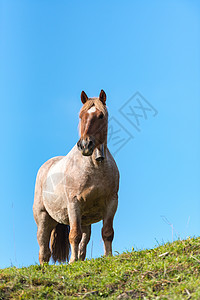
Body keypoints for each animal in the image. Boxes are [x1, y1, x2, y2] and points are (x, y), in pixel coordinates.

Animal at [33, 90, 119, 264]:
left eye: (101, 116)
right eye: (81, 116)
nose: (85, 145)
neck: (95, 166)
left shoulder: (111, 202)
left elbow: (107, 232)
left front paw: (108, 256)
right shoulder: (74, 203)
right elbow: (74, 235)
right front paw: (72, 262)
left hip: (85, 220)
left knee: (83, 244)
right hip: (43, 218)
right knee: (44, 250)